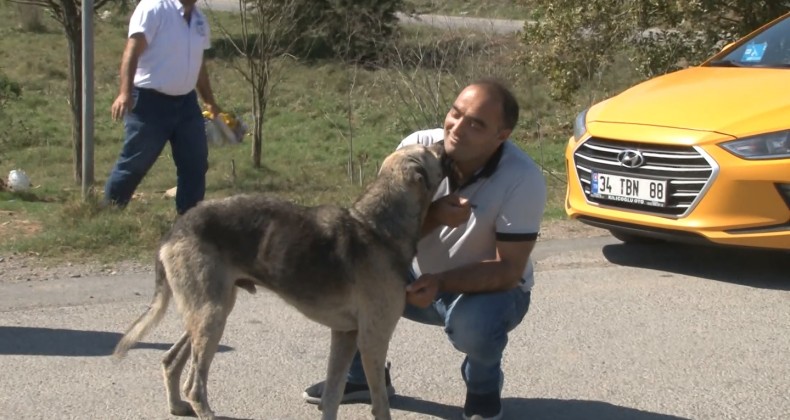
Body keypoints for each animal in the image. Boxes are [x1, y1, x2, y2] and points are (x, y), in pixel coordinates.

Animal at [114, 142, 454, 420]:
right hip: (211, 315)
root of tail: (175, 229)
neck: (376, 227)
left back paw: (176, 405)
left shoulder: (345, 334)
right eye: (429, 149)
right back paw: (202, 409)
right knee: (195, 386)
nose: (445, 141)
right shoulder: (373, 337)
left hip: (209, 309)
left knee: (171, 360)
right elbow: (380, 404)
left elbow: (332, 397)